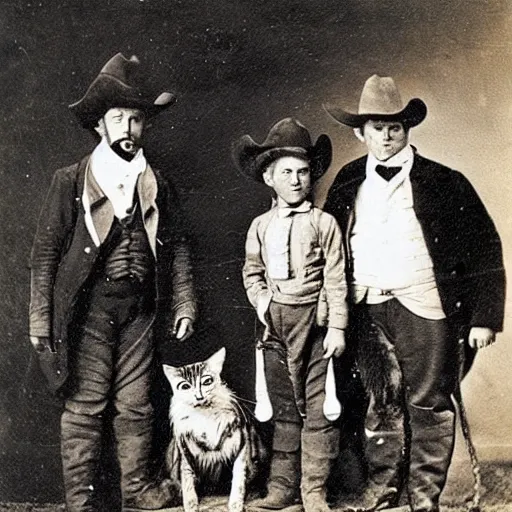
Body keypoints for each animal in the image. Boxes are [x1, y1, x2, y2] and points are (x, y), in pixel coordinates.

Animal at [163, 346, 260, 510]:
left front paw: (236, 504)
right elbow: (187, 482)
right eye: (185, 386)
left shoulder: (242, 445)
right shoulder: (185, 452)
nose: (199, 396)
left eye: (207, 381)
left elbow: (238, 478)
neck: (205, 415)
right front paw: (191, 506)